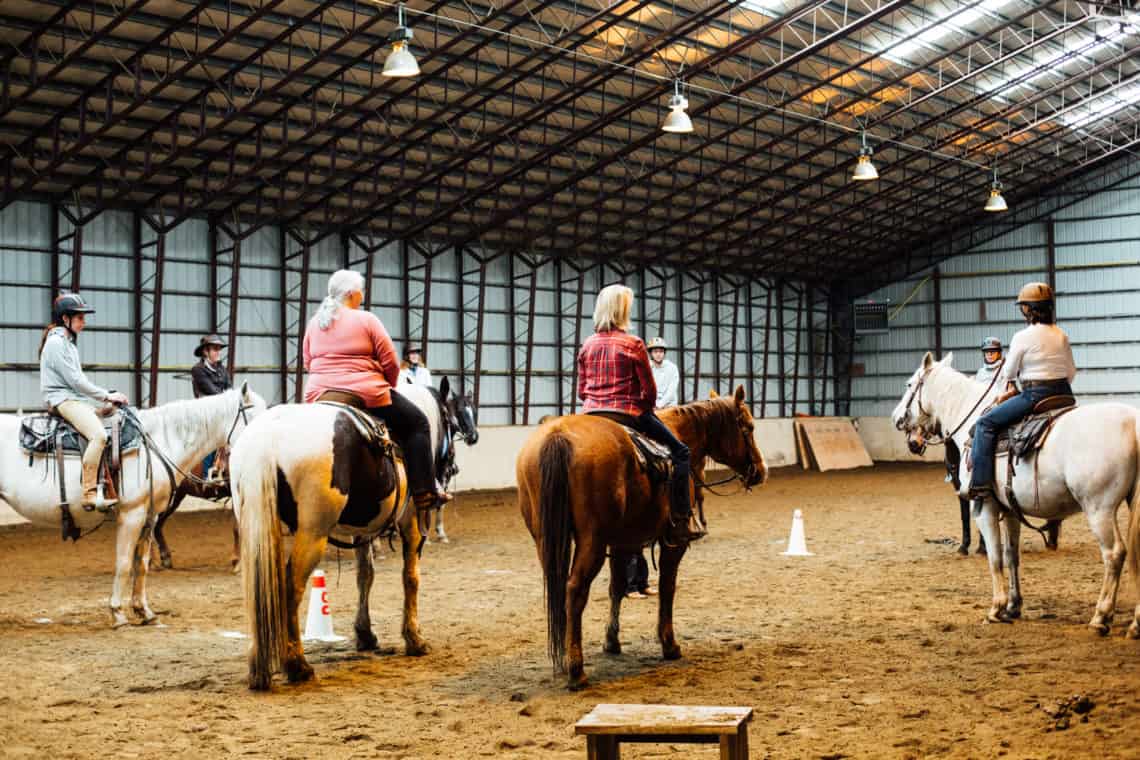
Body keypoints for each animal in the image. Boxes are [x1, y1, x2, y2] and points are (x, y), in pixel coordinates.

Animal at [0, 382, 264, 628]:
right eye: (254, 416)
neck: (159, 442)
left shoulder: (149, 515)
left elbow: (141, 564)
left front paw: (144, 611)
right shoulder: (131, 514)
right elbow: (124, 563)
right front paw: (117, 613)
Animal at [517, 389, 766, 692]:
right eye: (748, 427)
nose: (761, 470)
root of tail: (558, 435)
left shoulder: (621, 541)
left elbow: (616, 587)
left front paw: (611, 641)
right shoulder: (673, 543)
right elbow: (668, 588)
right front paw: (669, 644)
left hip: (546, 540)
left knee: (558, 588)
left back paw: (564, 659)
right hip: (592, 542)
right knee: (574, 591)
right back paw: (576, 672)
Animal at [893, 353, 1140, 638]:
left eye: (909, 385)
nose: (896, 418)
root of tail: (1133, 422)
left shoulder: (985, 507)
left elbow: (995, 557)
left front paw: (996, 609)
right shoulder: (1010, 509)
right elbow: (1012, 556)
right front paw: (1013, 607)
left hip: (1099, 509)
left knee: (1113, 554)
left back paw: (1100, 617)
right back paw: (1135, 624)